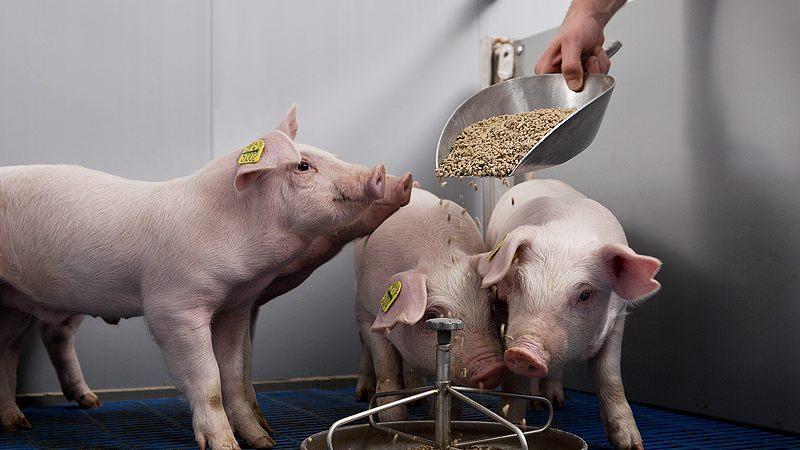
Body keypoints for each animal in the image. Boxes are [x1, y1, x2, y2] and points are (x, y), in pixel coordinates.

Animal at [0, 104, 385, 449]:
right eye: (303, 166)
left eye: (332, 155)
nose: (378, 171)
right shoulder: (174, 307)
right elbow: (208, 379)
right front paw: (225, 446)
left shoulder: (235, 307)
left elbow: (234, 377)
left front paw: (263, 441)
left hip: (19, 302)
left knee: (18, 347)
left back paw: (34, 419)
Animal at [354, 188, 506, 421]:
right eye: (432, 315)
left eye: (491, 308)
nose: (493, 367)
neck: (439, 255)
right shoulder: (369, 315)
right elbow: (386, 365)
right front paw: (394, 420)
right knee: (365, 349)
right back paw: (362, 394)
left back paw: (418, 398)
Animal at [479, 179, 661, 450]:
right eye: (519, 282)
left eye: (585, 295)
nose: (524, 351)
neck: (568, 235)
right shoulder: (504, 312)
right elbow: (516, 380)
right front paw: (512, 425)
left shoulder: (617, 317)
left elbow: (609, 376)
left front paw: (631, 444)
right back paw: (536, 403)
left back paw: (557, 402)